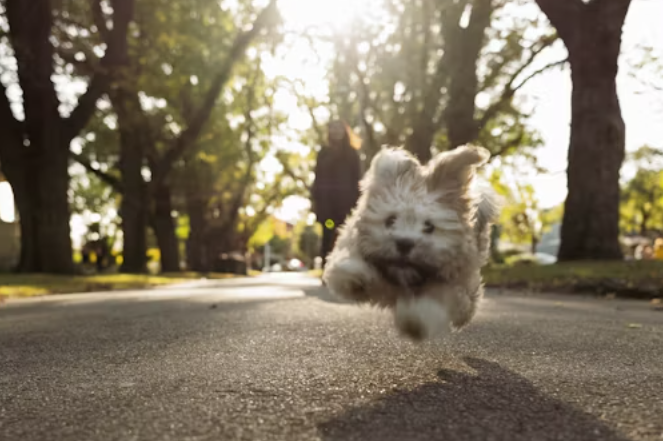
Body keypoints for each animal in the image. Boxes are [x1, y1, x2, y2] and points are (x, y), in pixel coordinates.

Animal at [324, 144, 500, 340]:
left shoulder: (457, 283)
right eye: (390, 220)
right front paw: (356, 276)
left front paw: (415, 320)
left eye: (429, 226)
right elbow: (346, 267)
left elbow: (440, 301)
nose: (404, 243)